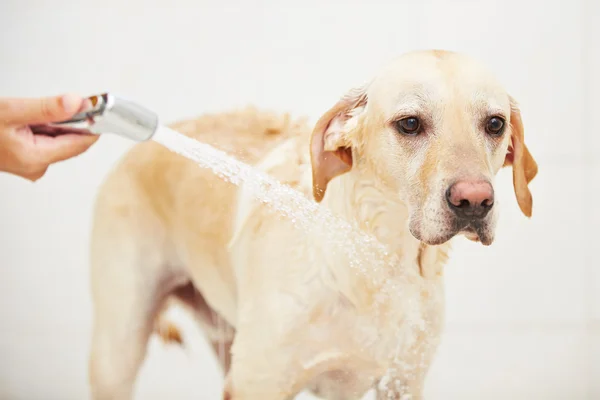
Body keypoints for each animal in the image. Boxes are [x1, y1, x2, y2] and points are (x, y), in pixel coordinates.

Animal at [88, 50, 540, 400]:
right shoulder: (260, 381)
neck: (377, 260)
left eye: (495, 124)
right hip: (118, 350)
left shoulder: (402, 381)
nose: (474, 202)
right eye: (410, 123)